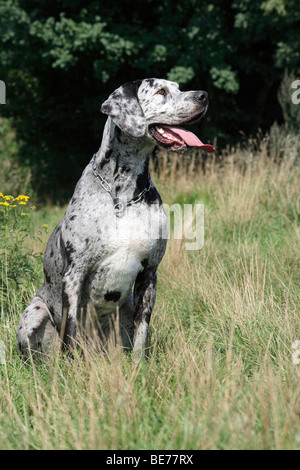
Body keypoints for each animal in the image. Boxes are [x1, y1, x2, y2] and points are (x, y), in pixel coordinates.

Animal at [15, 78, 213, 360]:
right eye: (161, 91)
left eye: (178, 87)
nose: (203, 95)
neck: (124, 194)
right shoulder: (74, 274)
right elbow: (69, 329)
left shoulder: (149, 272)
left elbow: (142, 329)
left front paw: (140, 366)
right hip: (34, 312)